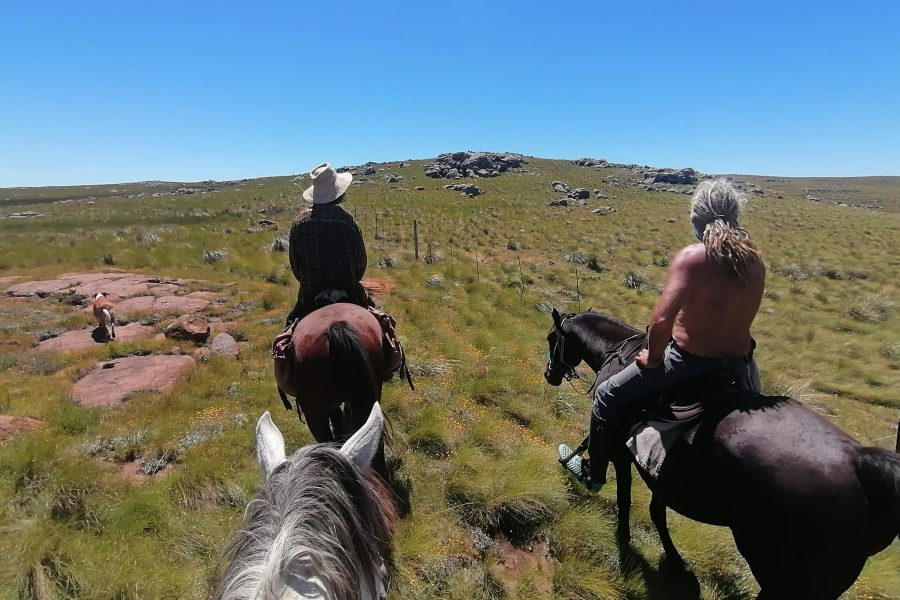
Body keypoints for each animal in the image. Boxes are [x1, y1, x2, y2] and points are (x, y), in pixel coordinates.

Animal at [544, 308, 900, 599]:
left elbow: (625, 496)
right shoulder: (664, 473)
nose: (550, 374)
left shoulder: (622, 454)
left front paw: (618, 527)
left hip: (780, 572)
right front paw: (676, 563)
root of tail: (862, 464)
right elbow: (657, 512)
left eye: (551, 338)